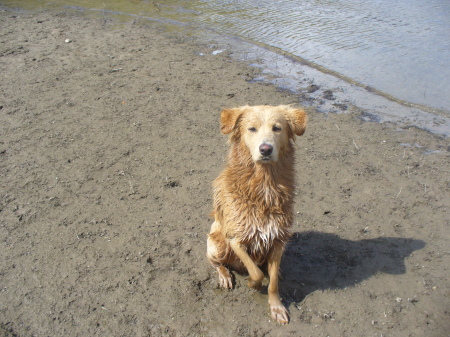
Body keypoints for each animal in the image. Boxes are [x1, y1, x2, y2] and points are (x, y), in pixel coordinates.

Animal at [207, 104, 306, 322]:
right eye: (251, 129)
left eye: (277, 128)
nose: (265, 149)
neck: (264, 186)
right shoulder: (236, 239)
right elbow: (255, 273)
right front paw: (253, 284)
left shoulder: (278, 239)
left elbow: (273, 283)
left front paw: (277, 307)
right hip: (216, 243)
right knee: (215, 262)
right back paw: (224, 275)